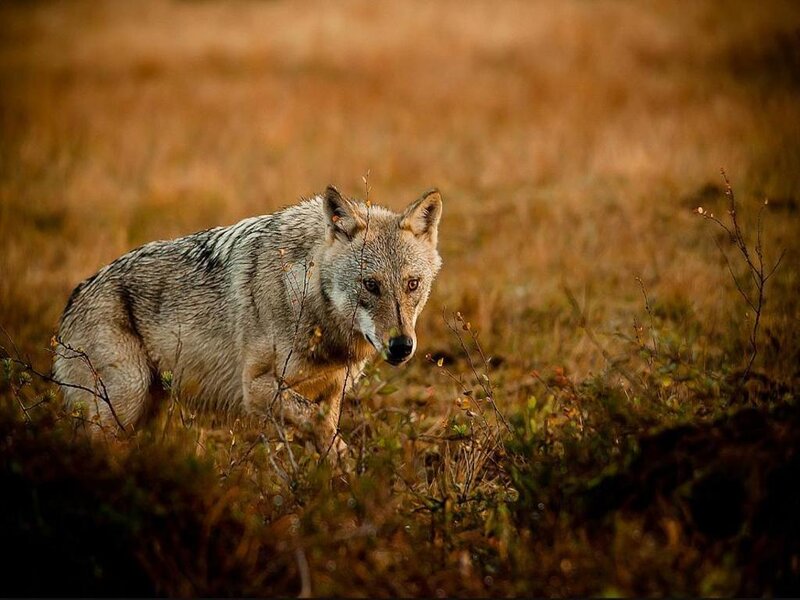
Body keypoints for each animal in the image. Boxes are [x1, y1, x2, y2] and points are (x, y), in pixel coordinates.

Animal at [53, 186, 443, 459]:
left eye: (412, 284)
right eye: (370, 285)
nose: (401, 346)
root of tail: (72, 299)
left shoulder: (332, 394)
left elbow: (326, 439)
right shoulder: (255, 389)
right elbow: (320, 429)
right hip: (123, 402)